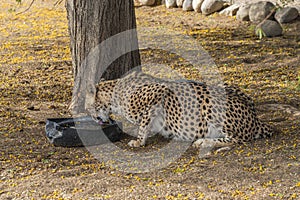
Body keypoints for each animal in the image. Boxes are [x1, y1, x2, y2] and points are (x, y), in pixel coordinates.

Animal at [89, 70, 272, 156]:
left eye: (88, 108)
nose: (94, 118)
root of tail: (256, 118)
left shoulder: (159, 91)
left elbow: (143, 124)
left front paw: (139, 141)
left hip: (210, 103)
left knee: (238, 139)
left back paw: (203, 141)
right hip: (227, 86)